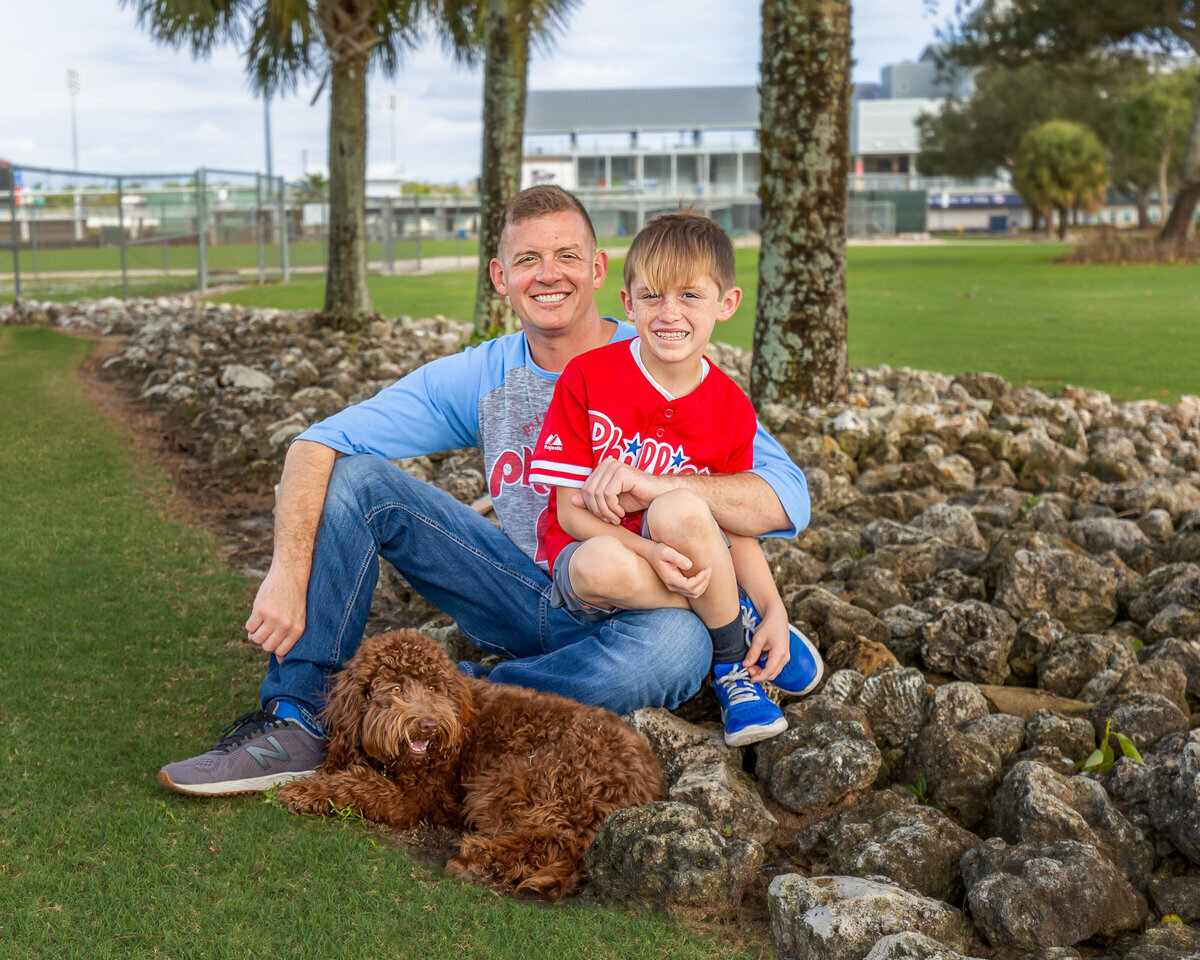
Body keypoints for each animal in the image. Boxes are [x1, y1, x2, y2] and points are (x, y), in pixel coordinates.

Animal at [276, 628, 667, 902]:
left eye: (433, 688)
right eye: (397, 688)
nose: (428, 725)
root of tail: (646, 782)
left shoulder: (417, 799)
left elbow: (363, 784)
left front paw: (302, 791)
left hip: (521, 779)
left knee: (553, 841)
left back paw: (478, 858)